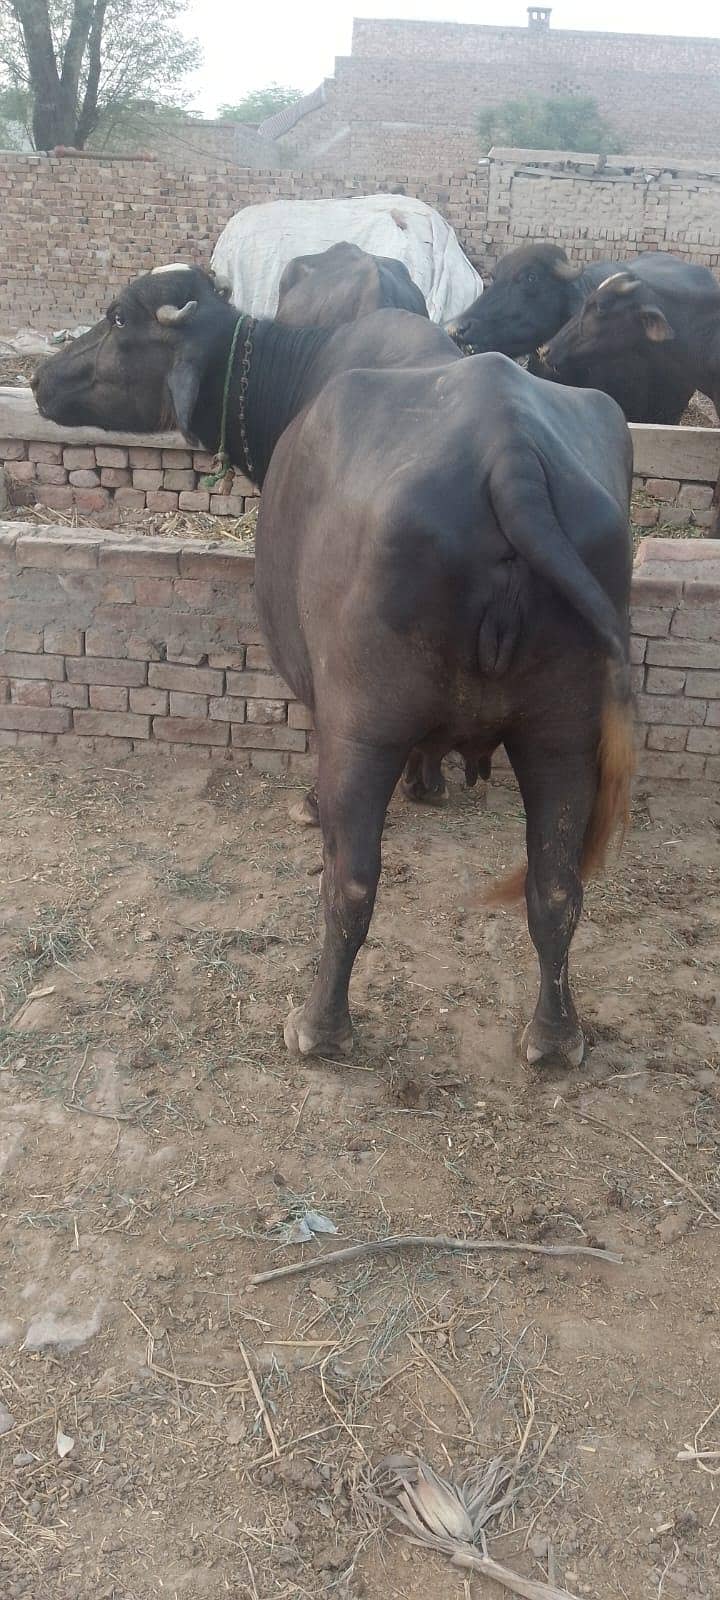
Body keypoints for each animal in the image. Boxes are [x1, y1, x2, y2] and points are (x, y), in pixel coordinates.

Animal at [33, 264, 634, 1068]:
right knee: (558, 888)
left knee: (349, 883)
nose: (41, 377)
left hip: (364, 724)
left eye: (118, 318)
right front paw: (428, 783)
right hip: (562, 733)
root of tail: (510, 457)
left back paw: (318, 1025)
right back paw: (556, 1035)